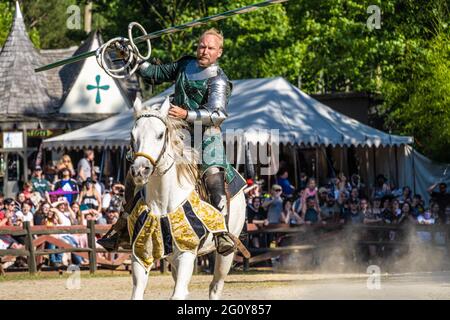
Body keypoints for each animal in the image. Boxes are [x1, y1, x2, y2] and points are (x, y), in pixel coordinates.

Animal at [128, 95, 246, 300]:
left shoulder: (186, 254)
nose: (140, 170)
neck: (162, 203)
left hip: (226, 255)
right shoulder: (140, 254)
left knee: (215, 287)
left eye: (160, 134)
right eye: (132, 135)